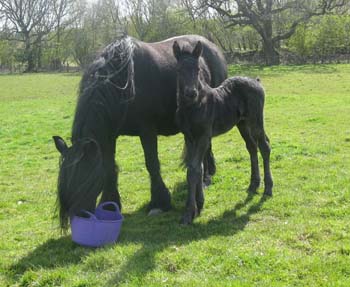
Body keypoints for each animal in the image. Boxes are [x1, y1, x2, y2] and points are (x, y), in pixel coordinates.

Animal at [52, 34, 227, 230]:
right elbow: (109, 167)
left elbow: (152, 164)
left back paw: (206, 178)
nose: (79, 219)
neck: (122, 85)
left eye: (85, 179)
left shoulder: (147, 131)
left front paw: (160, 202)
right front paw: (110, 204)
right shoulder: (108, 137)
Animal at [173, 40, 274, 225]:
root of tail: (256, 81)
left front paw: (189, 212)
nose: (191, 93)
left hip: (255, 120)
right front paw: (199, 204)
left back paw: (268, 188)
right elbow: (197, 167)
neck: (192, 107)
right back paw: (253, 185)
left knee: (264, 146)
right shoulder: (189, 137)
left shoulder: (203, 137)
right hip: (242, 124)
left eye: (198, 69)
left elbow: (194, 169)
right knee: (252, 147)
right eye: (178, 70)